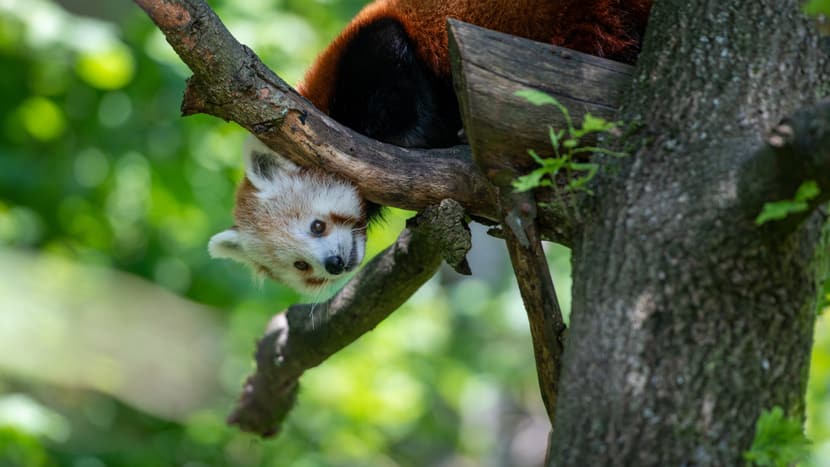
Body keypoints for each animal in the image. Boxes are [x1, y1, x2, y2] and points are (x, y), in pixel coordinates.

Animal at [211, 0, 652, 298]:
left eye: (316, 226)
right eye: (301, 266)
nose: (334, 264)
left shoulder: (372, 52)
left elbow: (405, 88)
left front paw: (432, 135)